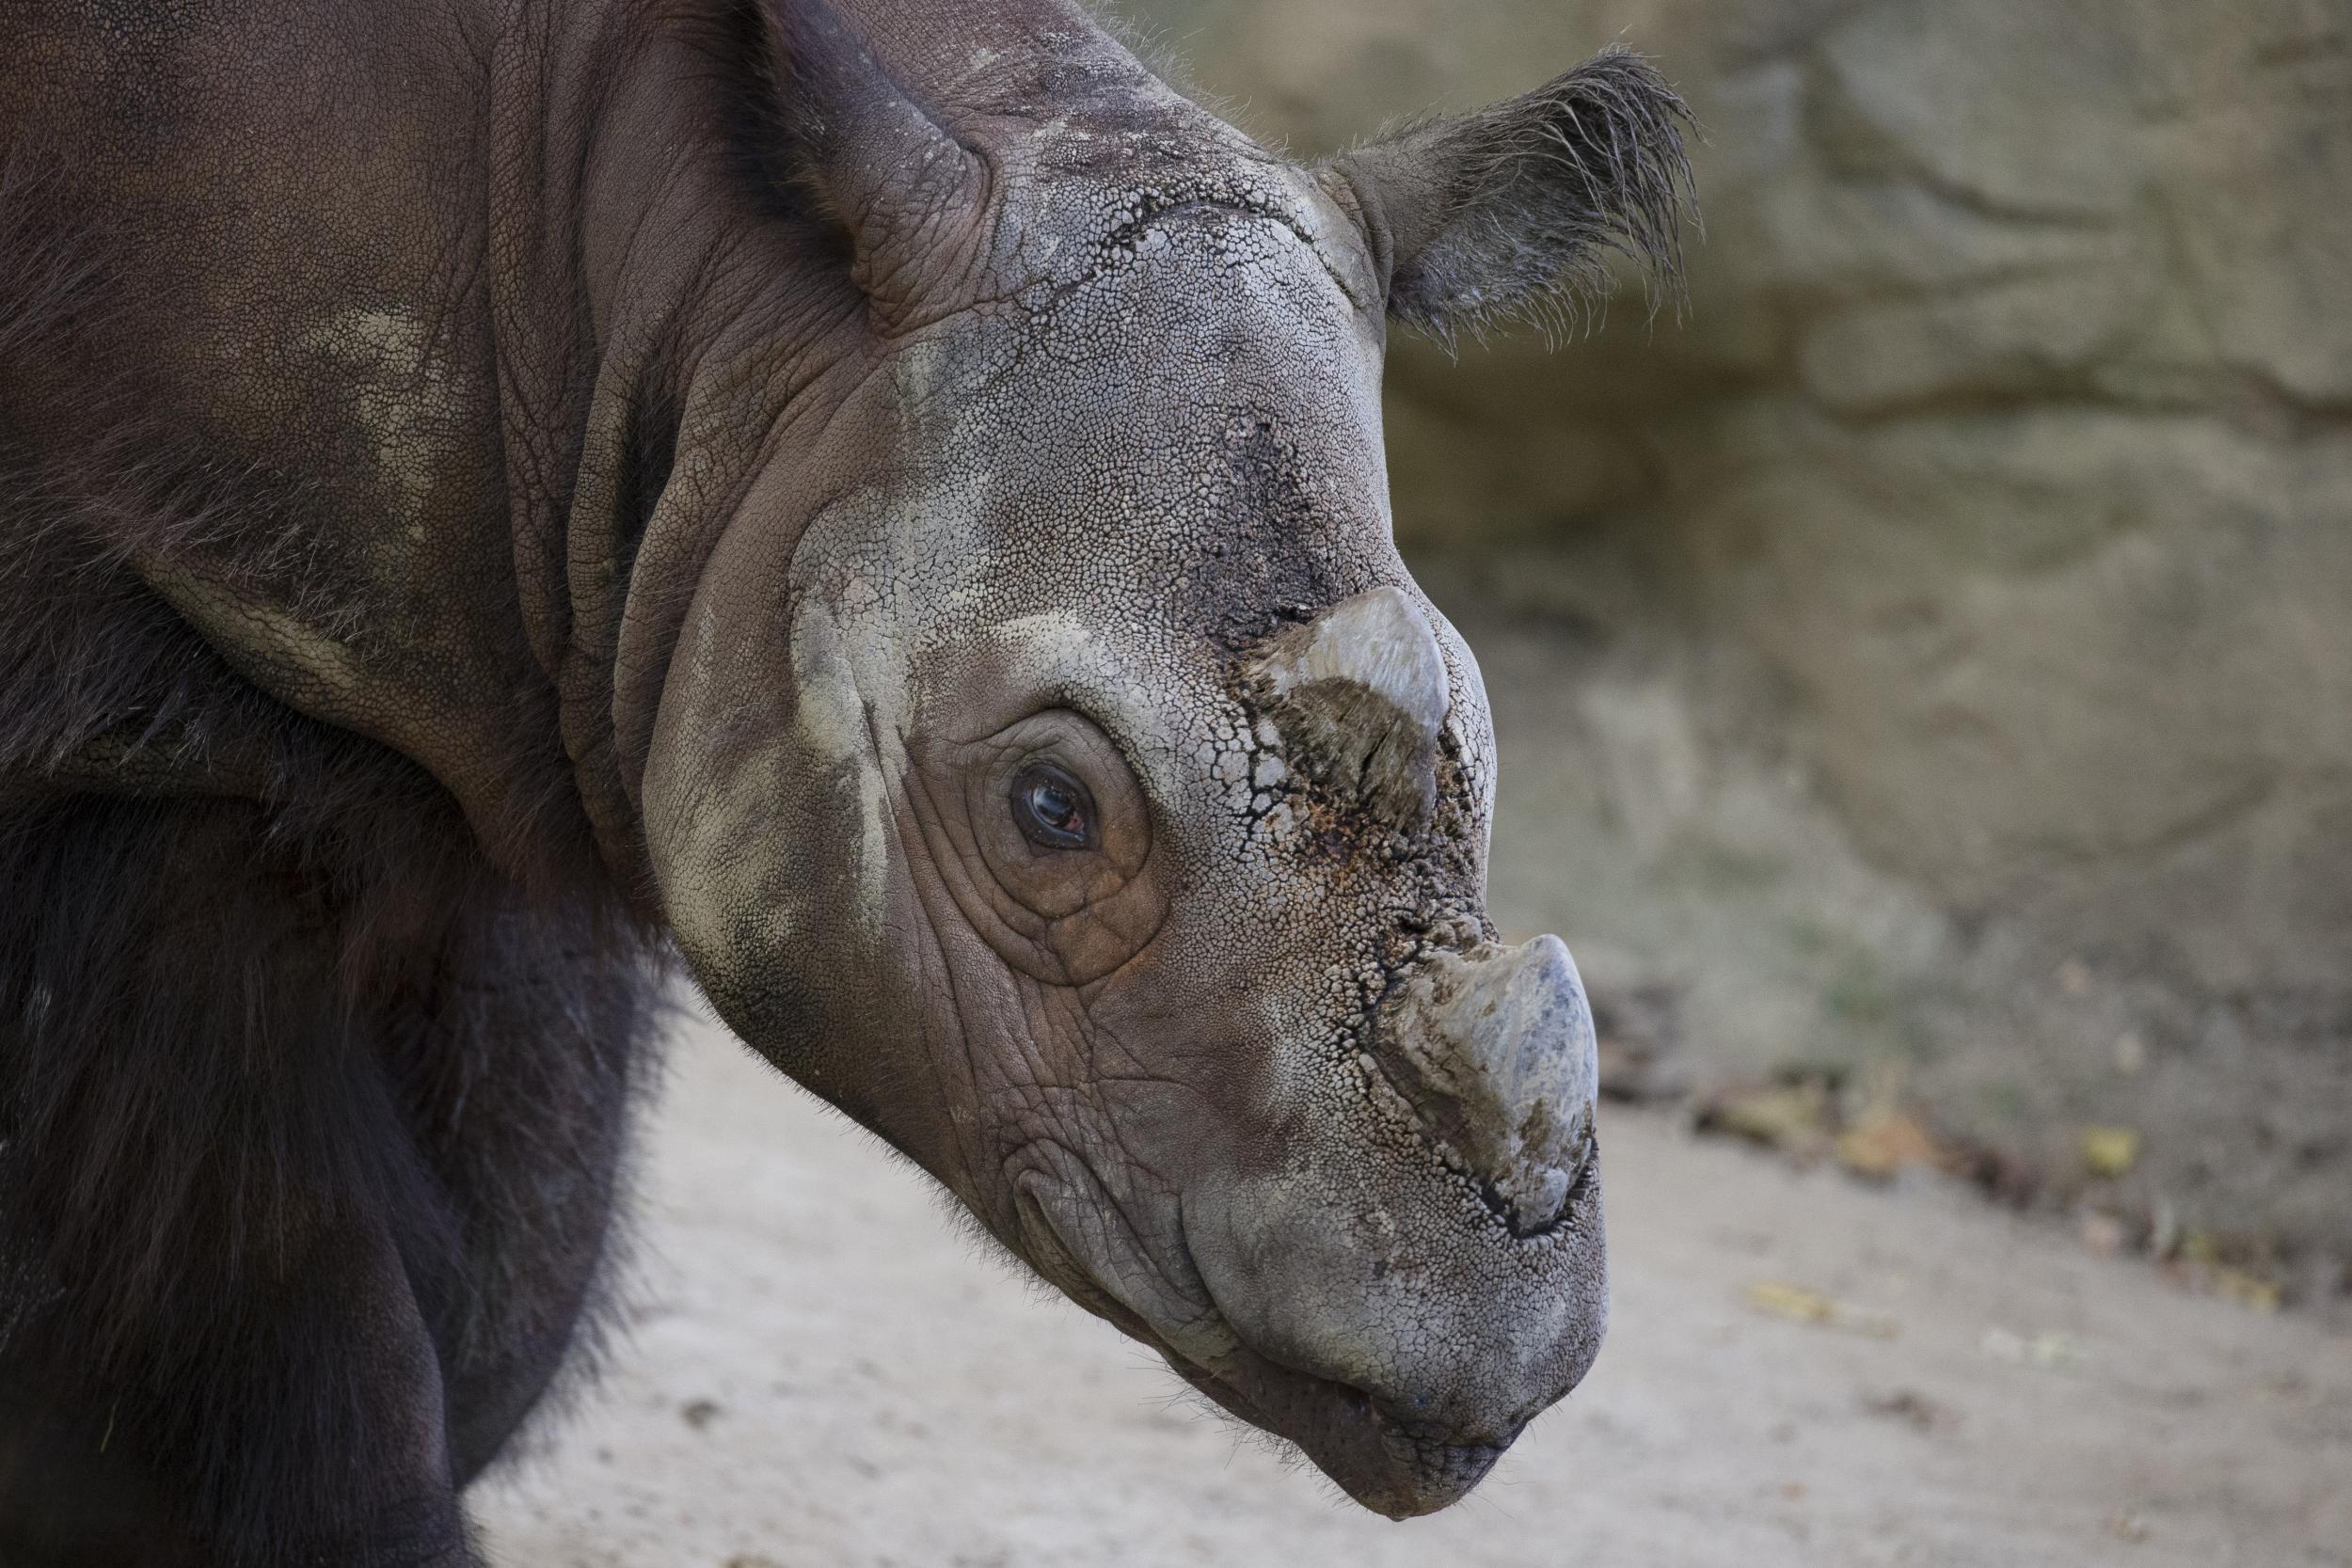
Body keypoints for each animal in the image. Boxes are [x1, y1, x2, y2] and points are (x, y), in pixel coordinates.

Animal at [0, 0, 1693, 1560]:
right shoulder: (168, 700)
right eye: (1051, 810)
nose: (1491, 1345)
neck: (669, 281)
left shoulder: (494, 708)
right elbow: (283, 1275)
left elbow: (516, 1234)